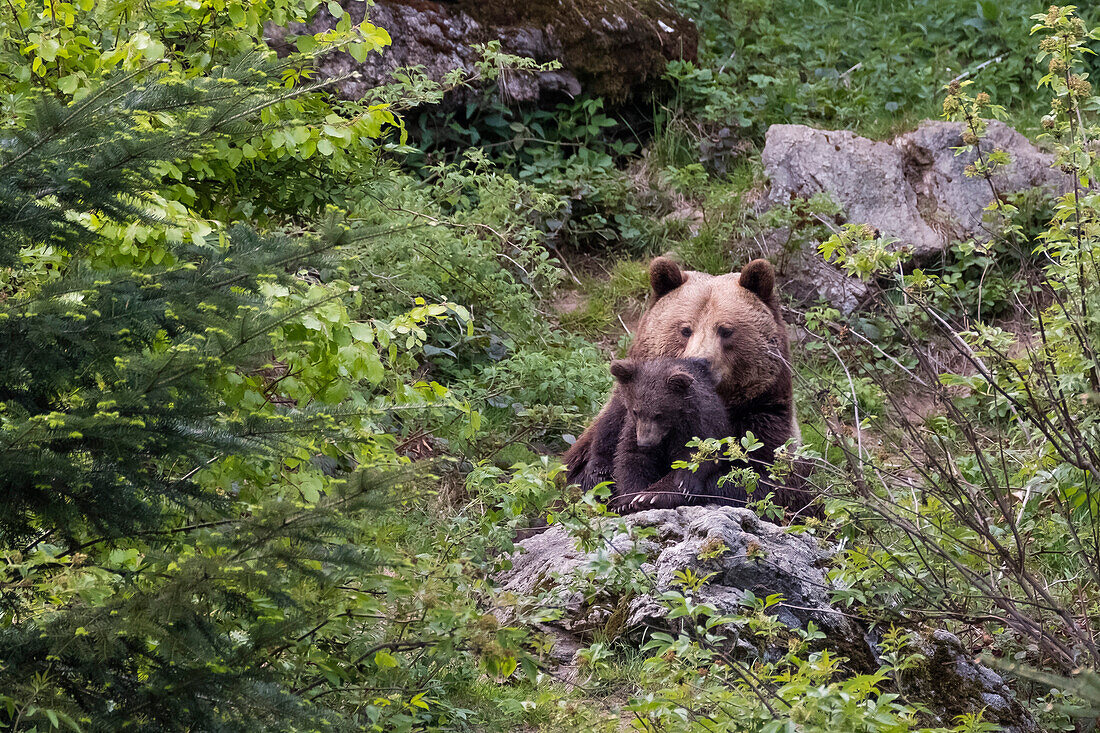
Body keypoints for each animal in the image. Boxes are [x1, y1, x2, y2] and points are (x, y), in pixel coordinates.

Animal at [563, 256, 814, 512]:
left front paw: (654, 494)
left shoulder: (763, 416)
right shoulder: (621, 418)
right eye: (685, 329)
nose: (700, 360)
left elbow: (754, 479)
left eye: (726, 330)